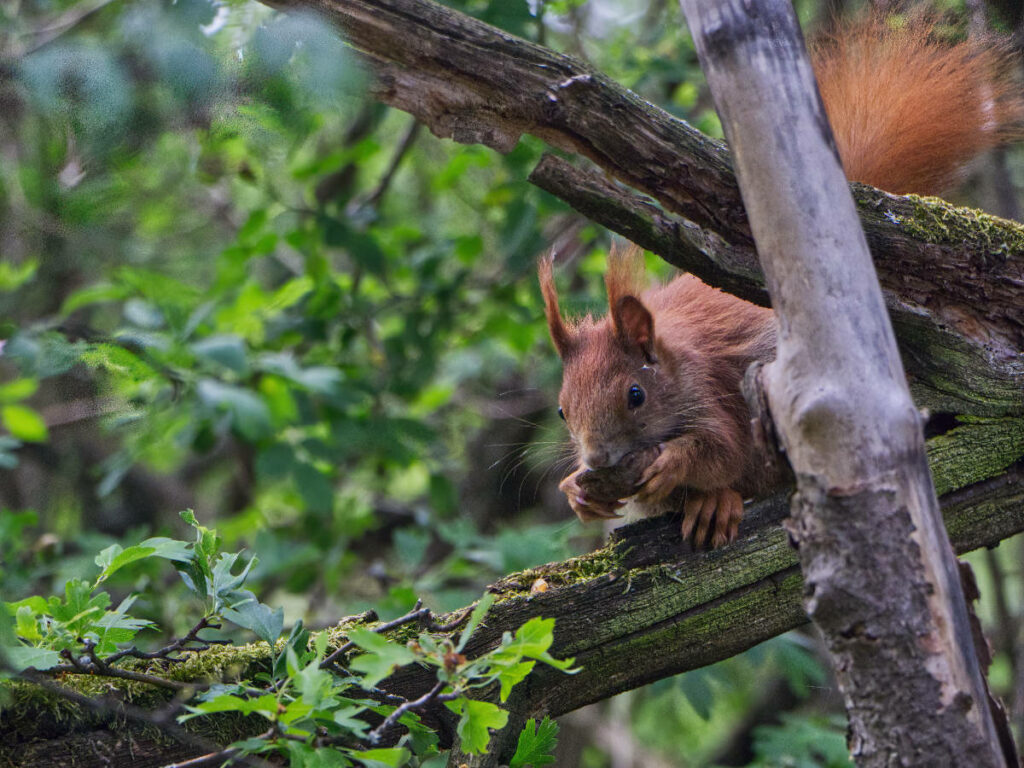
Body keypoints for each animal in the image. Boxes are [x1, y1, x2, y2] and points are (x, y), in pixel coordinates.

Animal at [540, 18, 1019, 548]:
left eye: (635, 395)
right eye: (562, 411)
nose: (596, 458)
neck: (675, 365)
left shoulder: (714, 391)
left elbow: (720, 450)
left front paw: (675, 463)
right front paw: (577, 491)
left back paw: (717, 503)